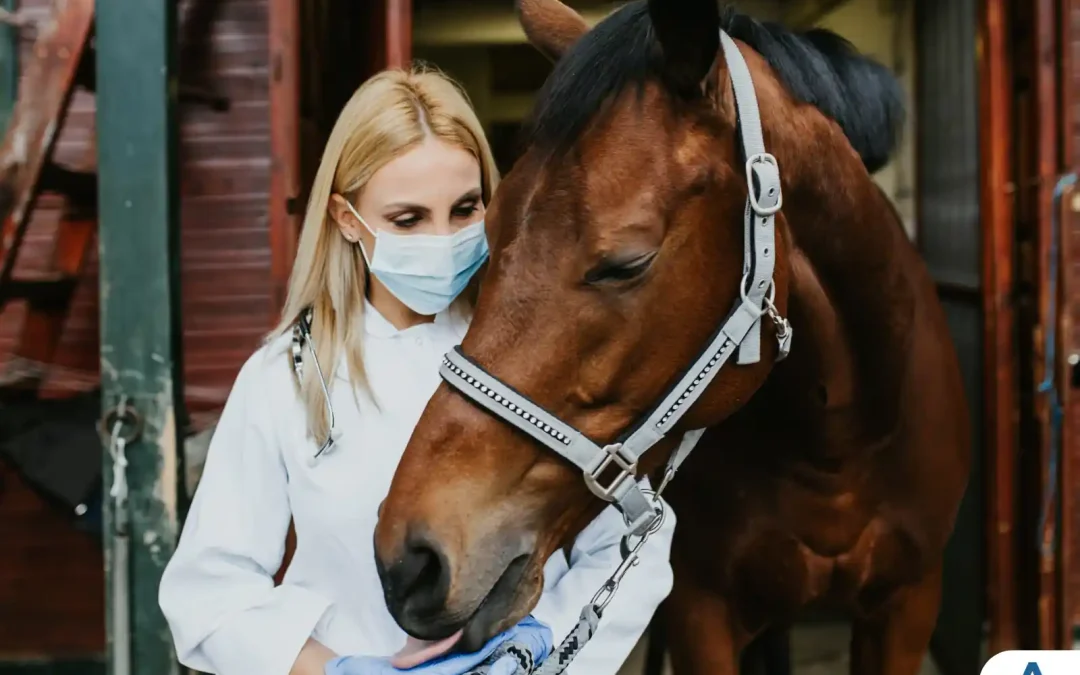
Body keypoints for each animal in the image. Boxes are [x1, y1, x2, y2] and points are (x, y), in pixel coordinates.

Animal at [371, 2, 972, 669]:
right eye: (488, 230)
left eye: (627, 263)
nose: (409, 562)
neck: (836, 446)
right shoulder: (700, 611)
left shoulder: (907, 604)